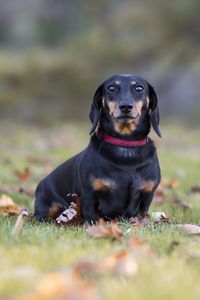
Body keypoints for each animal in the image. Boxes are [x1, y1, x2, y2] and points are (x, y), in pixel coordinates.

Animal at [34, 74, 161, 224]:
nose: (125, 106)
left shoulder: (147, 194)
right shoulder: (89, 195)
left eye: (139, 88)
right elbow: (93, 218)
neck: (125, 144)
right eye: (111, 88)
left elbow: (141, 215)